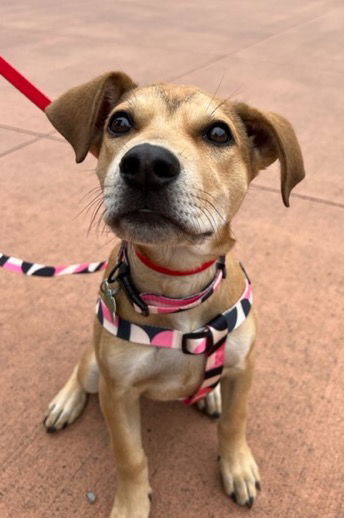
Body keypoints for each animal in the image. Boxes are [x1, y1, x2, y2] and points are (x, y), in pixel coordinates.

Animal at [42, 71, 304, 516]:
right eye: (120, 123)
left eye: (219, 133)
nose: (147, 163)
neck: (178, 283)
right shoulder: (118, 392)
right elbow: (130, 456)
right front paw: (131, 504)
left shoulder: (243, 367)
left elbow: (234, 423)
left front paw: (237, 468)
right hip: (96, 369)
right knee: (81, 368)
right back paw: (66, 402)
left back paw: (210, 397)